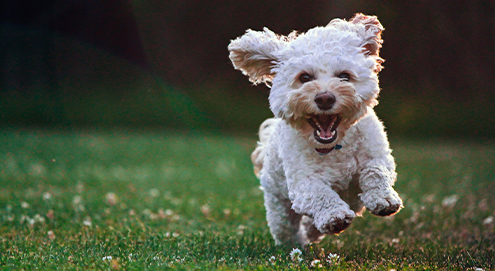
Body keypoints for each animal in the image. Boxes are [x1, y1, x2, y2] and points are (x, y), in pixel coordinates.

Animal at [229, 13, 404, 246]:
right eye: (304, 77)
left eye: (344, 76)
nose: (325, 98)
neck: (335, 147)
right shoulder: (303, 181)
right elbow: (319, 193)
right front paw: (334, 216)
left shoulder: (377, 155)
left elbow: (375, 171)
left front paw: (383, 199)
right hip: (278, 204)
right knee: (286, 227)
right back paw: (298, 243)